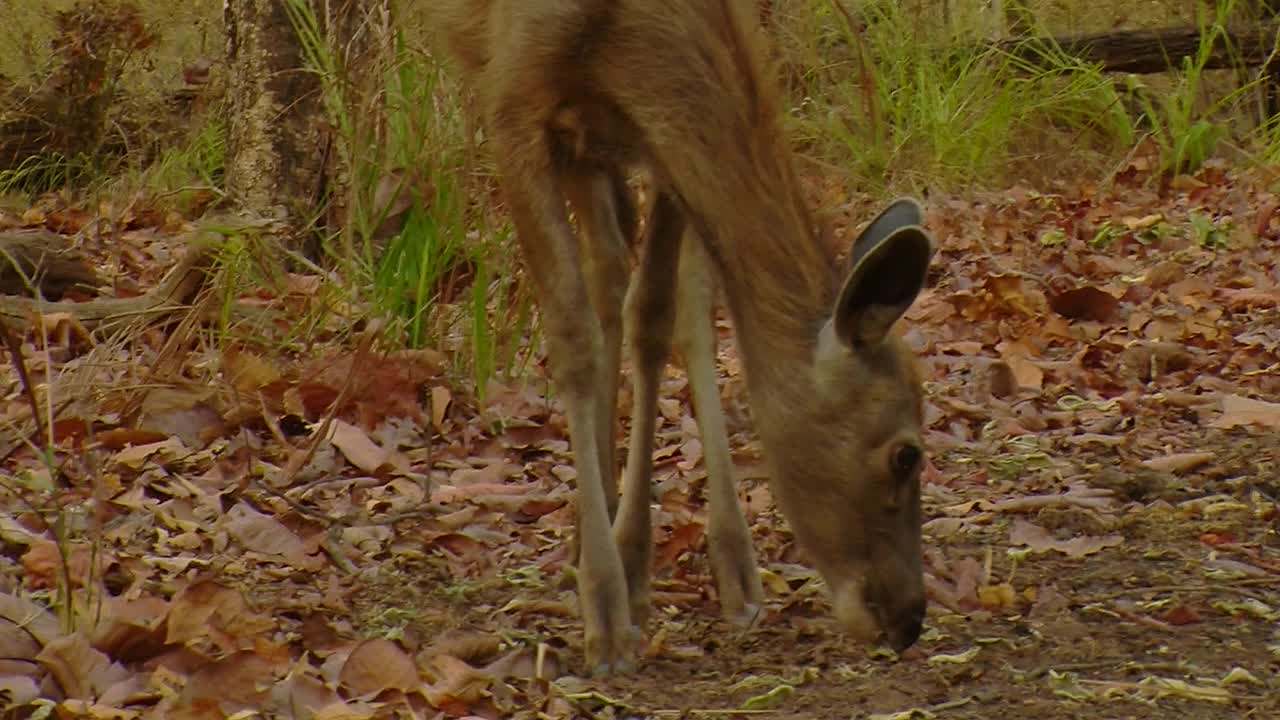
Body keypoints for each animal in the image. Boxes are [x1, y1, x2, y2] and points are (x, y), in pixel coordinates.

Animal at [424, 0, 936, 671]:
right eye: (907, 454)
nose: (909, 619)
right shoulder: (512, 99)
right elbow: (573, 337)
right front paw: (606, 613)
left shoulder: (656, 133)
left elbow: (657, 314)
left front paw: (633, 566)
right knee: (605, 276)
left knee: (631, 278)